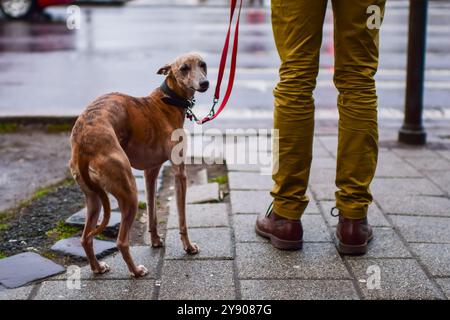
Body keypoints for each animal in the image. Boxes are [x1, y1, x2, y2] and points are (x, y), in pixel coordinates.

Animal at [69, 52, 209, 276]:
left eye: (203, 64)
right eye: (184, 68)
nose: (205, 83)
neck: (167, 101)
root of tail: (83, 144)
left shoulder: (151, 172)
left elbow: (152, 212)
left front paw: (155, 241)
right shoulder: (180, 173)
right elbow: (182, 220)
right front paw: (188, 247)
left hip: (94, 198)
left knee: (85, 238)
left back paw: (97, 268)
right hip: (129, 193)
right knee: (121, 242)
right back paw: (136, 271)